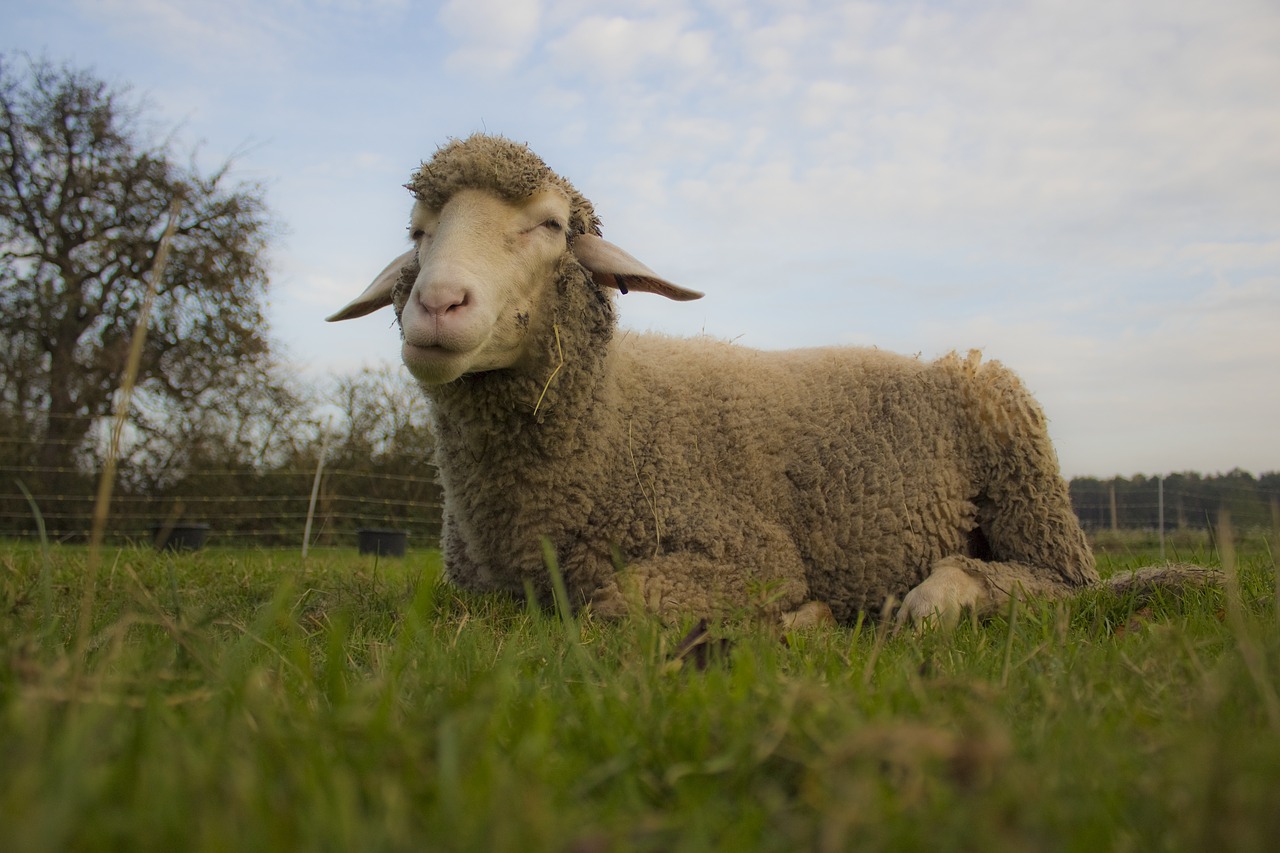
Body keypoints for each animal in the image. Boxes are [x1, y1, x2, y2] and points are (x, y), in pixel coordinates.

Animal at [327, 134, 1208, 625]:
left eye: (548, 225)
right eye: (418, 233)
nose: (438, 304)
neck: (611, 423)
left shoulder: (751, 553)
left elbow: (618, 601)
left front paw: (805, 614)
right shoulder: (475, 589)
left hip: (1028, 490)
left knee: (1058, 587)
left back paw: (935, 596)